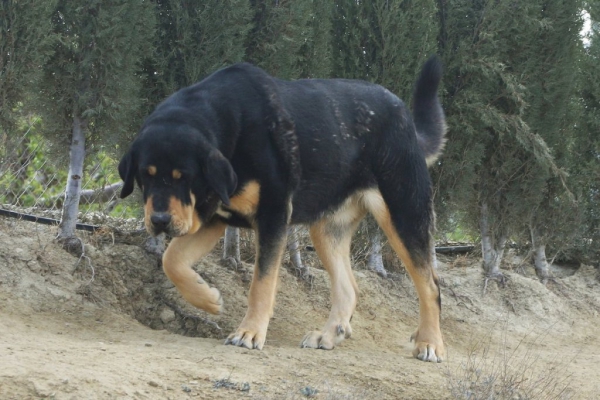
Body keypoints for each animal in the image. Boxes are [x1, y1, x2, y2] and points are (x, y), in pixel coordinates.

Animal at [118, 56, 446, 362]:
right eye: (145, 176)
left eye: (183, 177)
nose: (159, 220)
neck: (231, 128)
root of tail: (404, 116)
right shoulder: (211, 217)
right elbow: (171, 260)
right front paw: (207, 298)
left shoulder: (272, 216)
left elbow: (261, 284)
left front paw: (249, 332)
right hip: (328, 230)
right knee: (349, 287)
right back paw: (329, 335)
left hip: (404, 215)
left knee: (430, 285)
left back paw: (430, 343)